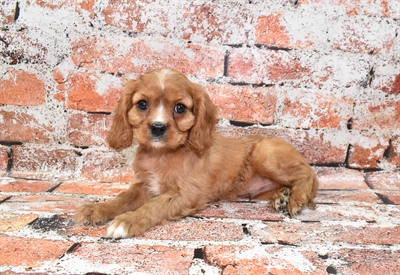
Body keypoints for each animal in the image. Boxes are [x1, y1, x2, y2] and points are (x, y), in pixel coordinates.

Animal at [75, 68, 318, 238]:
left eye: (180, 108)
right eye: (142, 104)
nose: (157, 127)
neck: (161, 155)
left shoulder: (187, 194)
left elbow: (155, 205)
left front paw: (127, 221)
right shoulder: (145, 185)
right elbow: (122, 198)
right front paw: (96, 209)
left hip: (265, 154)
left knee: (308, 175)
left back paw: (296, 199)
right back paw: (282, 197)